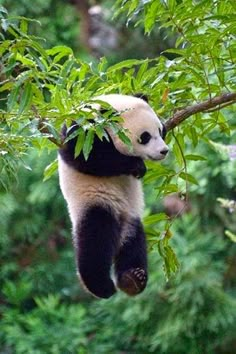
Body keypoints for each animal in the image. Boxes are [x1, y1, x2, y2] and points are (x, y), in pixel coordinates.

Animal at [58, 94, 170, 298]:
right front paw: (136, 166)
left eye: (160, 130)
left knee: (134, 244)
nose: (164, 151)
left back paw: (132, 279)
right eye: (145, 137)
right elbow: (88, 157)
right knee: (95, 241)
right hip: (94, 202)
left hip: (132, 217)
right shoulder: (80, 132)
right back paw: (102, 286)